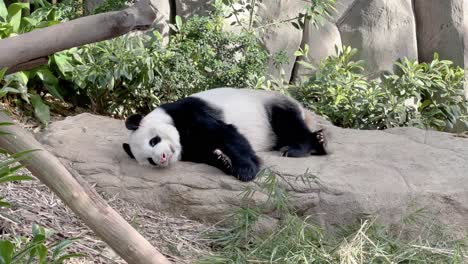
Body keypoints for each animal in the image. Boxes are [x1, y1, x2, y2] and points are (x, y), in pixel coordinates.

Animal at [121, 88, 326, 182]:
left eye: (153, 141)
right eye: (151, 161)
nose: (162, 158)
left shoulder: (187, 113)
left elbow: (227, 135)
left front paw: (245, 170)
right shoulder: (191, 149)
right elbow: (207, 153)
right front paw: (223, 161)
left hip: (272, 106)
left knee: (288, 123)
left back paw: (298, 148)